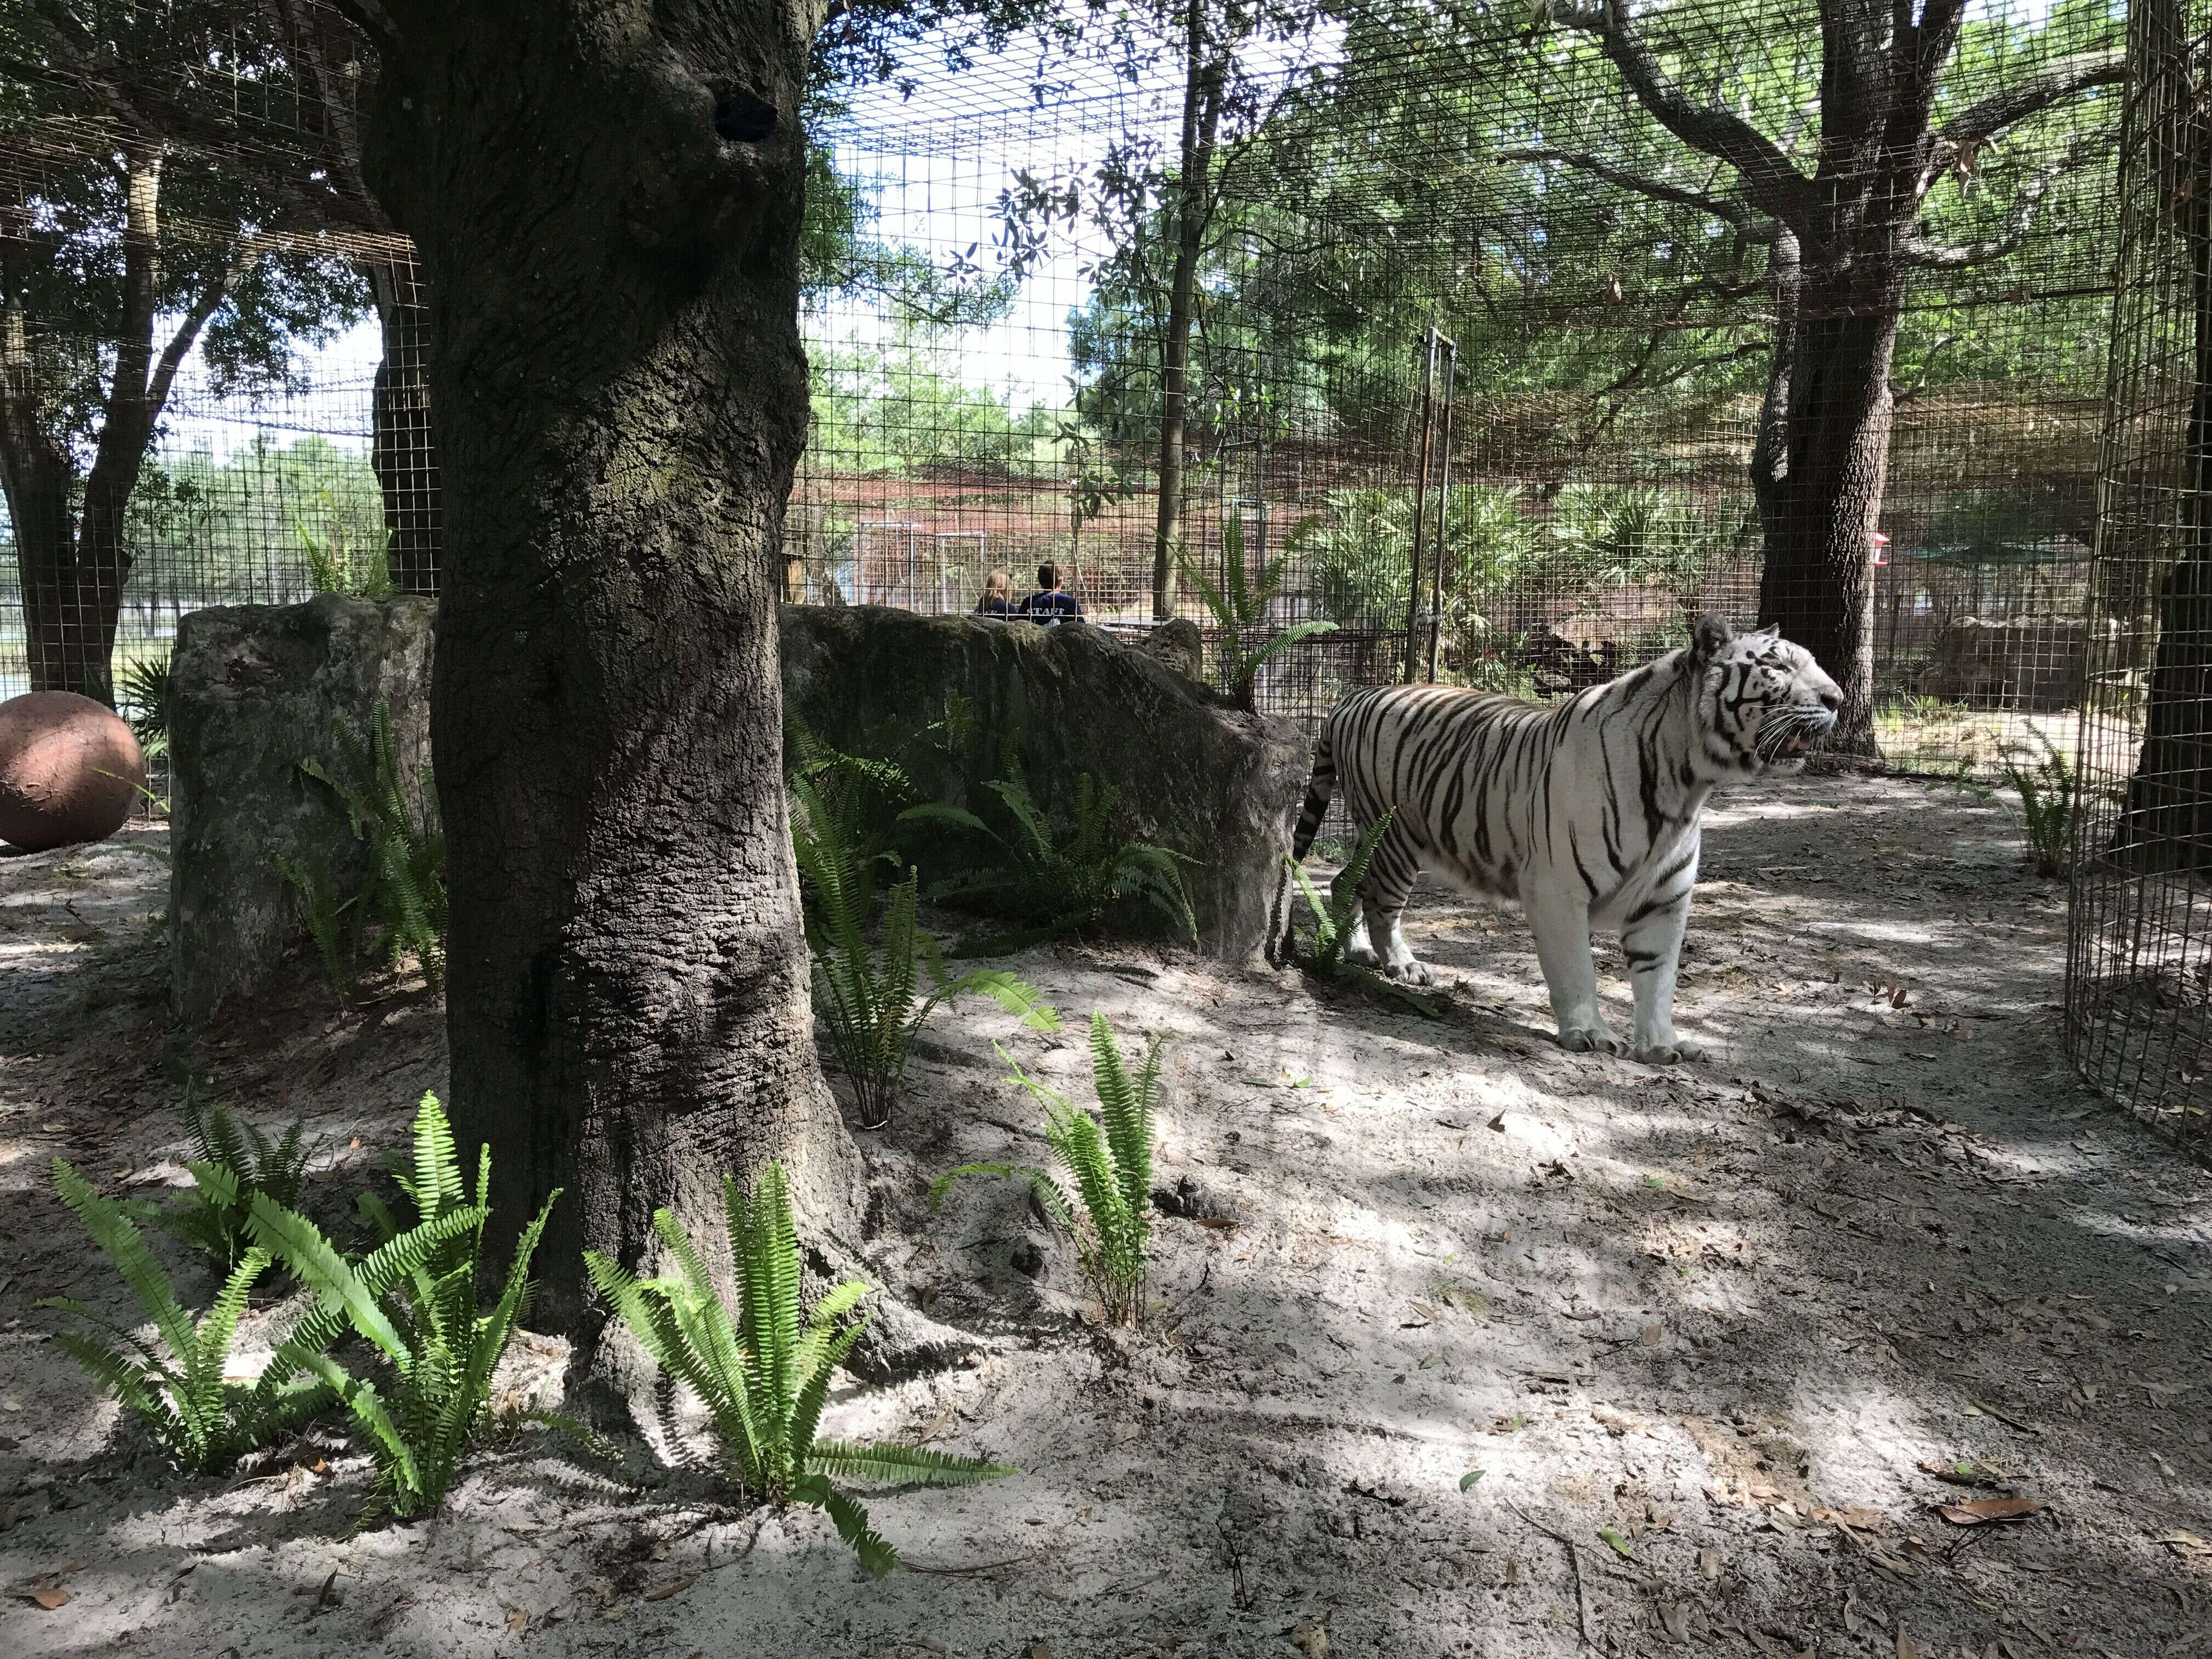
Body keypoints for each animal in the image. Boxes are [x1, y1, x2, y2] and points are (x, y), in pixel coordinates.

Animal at [1291, 619, 1840, 1066]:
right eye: (1777, 665)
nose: (1838, 699)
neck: (1686, 787)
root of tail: (1352, 697)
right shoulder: (1557, 888)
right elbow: (1578, 970)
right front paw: (1590, 1035)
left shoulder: (1665, 901)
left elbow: (1659, 978)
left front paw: (1661, 1045)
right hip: (1396, 838)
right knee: (1380, 901)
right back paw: (1401, 964)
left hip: (1380, 838)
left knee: (1346, 881)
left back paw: (1355, 950)